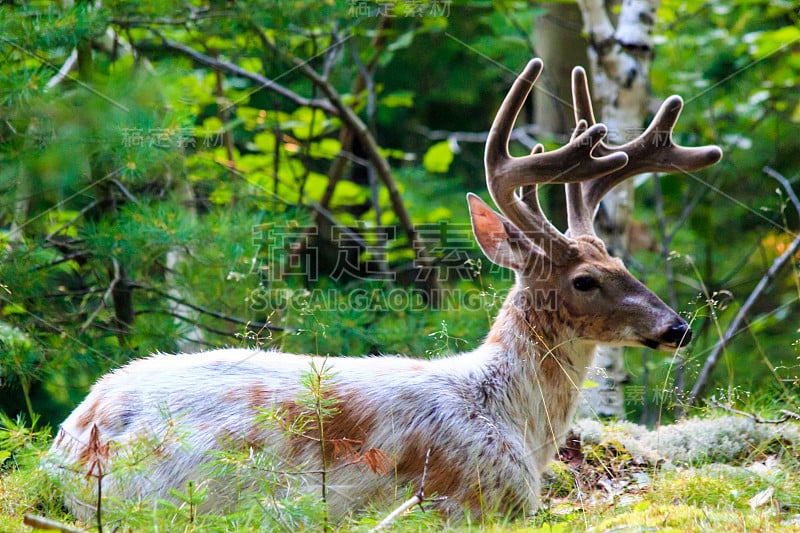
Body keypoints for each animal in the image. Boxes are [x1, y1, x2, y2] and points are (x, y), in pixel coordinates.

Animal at [47, 58, 720, 520]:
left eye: (619, 258)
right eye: (584, 279)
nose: (678, 327)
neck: (511, 419)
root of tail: (73, 440)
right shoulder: (465, 496)